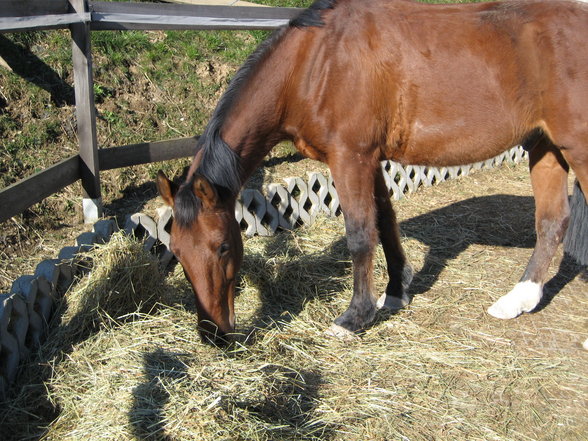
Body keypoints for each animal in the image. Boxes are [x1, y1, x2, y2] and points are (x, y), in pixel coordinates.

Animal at [157, 0, 588, 340]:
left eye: (223, 247)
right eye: (176, 252)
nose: (212, 334)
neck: (314, 63)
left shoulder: (351, 158)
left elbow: (361, 235)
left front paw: (355, 317)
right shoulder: (371, 160)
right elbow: (385, 220)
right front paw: (396, 291)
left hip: (577, 148)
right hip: (545, 147)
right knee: (552, 221)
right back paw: (519, 300)